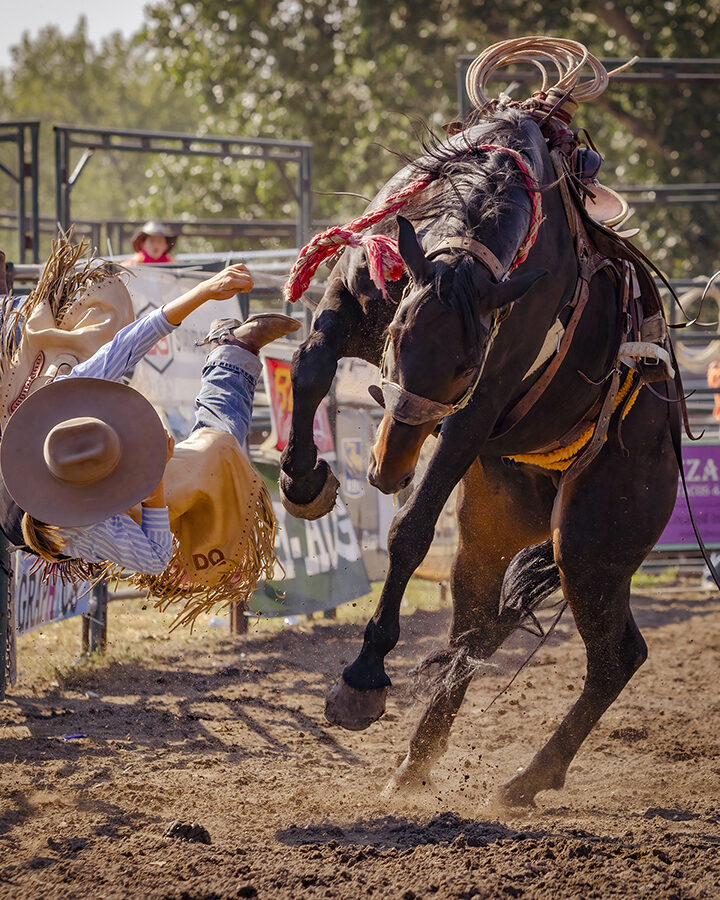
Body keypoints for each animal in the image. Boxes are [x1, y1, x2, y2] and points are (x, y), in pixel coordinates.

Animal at [278, 38, 684, 804]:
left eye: (467, 370)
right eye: (396, 339)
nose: (385, 468)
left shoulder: (478, 410)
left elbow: (409, 531)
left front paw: (363, 680)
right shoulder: (349, 301)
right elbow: (311, 368)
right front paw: (303, 481)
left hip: (593, 543)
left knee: (617, 656)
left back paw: (528, 779)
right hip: (493, 529)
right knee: (474, 634)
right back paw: (416, 765)